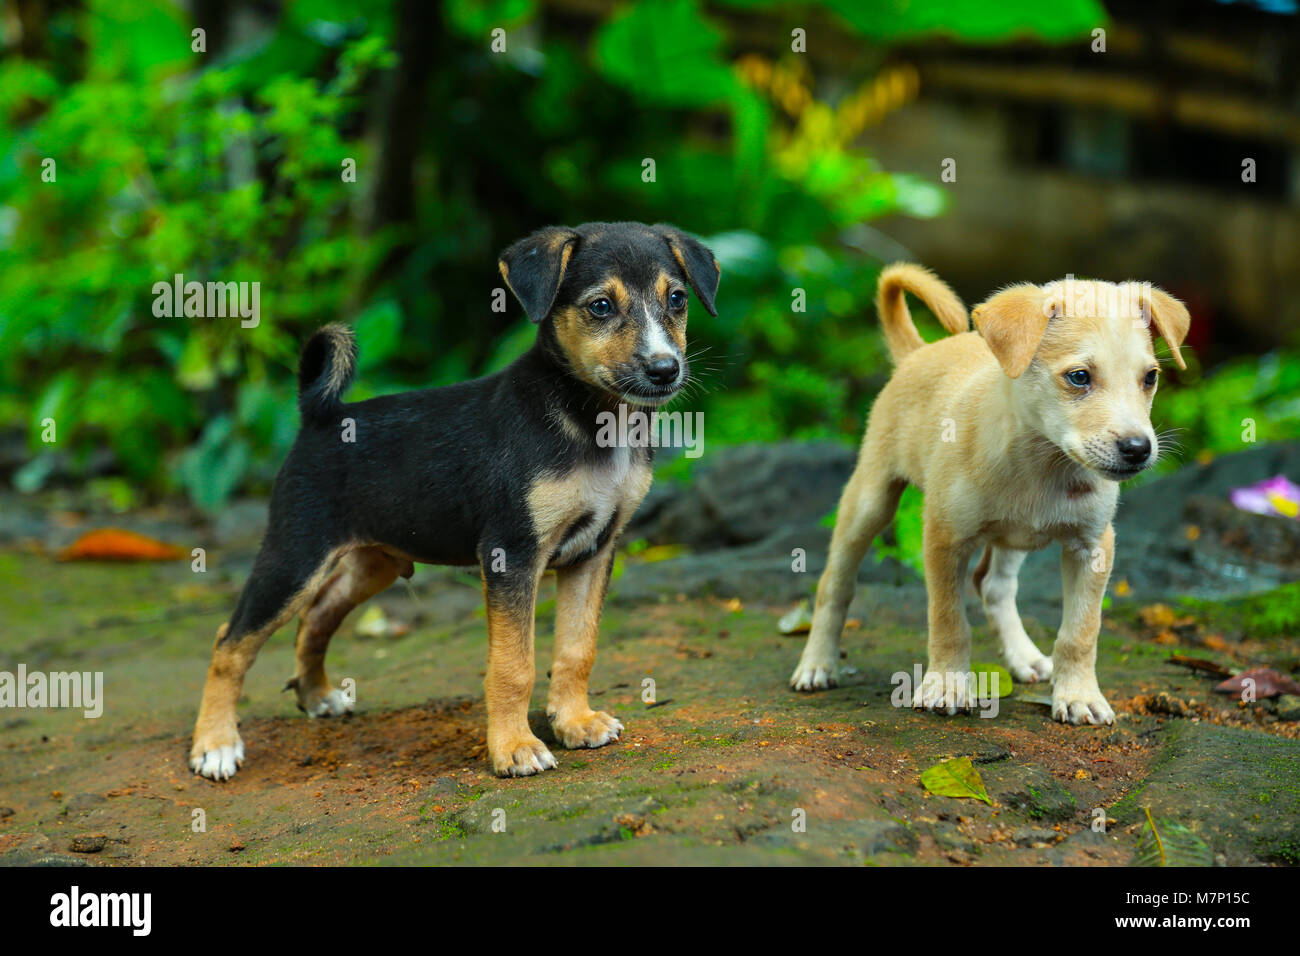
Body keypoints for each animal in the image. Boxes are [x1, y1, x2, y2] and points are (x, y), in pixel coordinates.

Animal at [189, 222, 722, 780]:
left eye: (677, 299)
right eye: (600, 306)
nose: (665, 368)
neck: (591, 421)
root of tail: (320, 415)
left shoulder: (594, 551)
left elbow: (578, 648)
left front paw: (575, 721)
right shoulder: (512, 553)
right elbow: (513, 665)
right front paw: (514, 747)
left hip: (372, 561)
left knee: (315, 616)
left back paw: (315, 696)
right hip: (295, 555)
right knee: (231, 641)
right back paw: (215, 744)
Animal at [790, 264, 1190, 723]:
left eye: (1150, 377)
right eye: (1079, 377)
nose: (1138, 449)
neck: (1041, 461)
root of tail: (916, 354)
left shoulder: (1092, 546)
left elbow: (1080, 631)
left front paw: (1079, 696)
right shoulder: (944, 539)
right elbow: (948, 621)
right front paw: (947, 686)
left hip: (1012, 537)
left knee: (993, 585)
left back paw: (1025, 657)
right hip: (869, 502)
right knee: (834, 585)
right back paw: (817, 664)